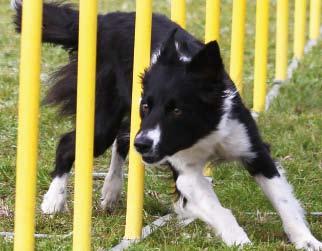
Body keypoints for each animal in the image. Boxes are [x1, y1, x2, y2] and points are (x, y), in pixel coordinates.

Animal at [12, 1, 322, 249]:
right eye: (147, 106)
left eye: (177, 110)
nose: (144, 143)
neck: (202, 131)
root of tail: (105, 20)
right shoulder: (185, 171)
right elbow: (217, 207)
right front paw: (238, 239)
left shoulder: (252, 148)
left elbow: (284, 201)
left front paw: (307, 240)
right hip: (103, 120)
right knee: (70, 144)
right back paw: (53, 200)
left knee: (121, 140)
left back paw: (111, 190)